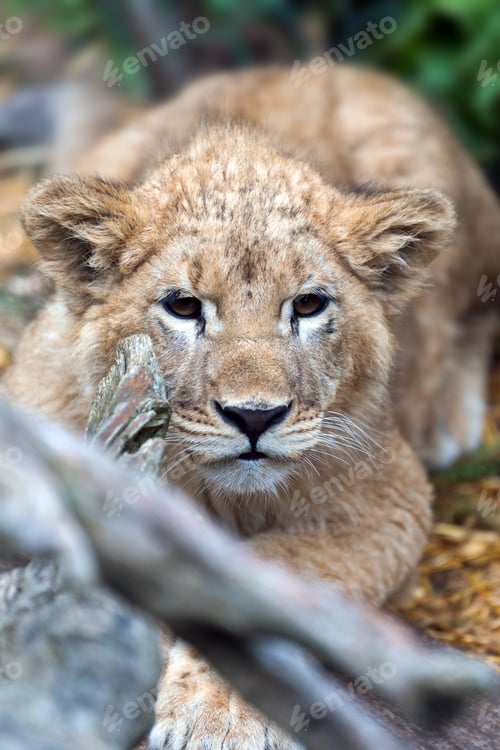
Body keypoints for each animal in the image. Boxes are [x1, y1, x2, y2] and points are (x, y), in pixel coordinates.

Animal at [3, 65, 500, 749]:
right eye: (183, 307)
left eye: (309, 305)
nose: (255, 417)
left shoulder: (386, 498)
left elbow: (266, 581)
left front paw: (219, 714)